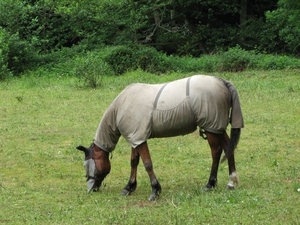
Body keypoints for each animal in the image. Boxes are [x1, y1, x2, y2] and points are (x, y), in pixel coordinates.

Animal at [77, 75, 244, 200]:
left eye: (86, 165)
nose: (90, 188)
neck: (121, 106)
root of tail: (221, 81)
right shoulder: (135, 138)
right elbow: (134, 162)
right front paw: (129, 187)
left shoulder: (139, 139)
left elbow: (147, 164)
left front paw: (155, 190)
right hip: (216, 127)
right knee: (228, 147)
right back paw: (231, 181)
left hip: (211, 128)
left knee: (216, 152)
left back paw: (210, 184)